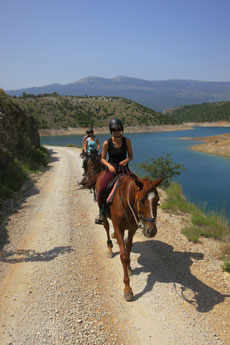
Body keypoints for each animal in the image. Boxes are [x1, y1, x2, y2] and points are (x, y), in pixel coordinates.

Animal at [82, 171, 162, 300]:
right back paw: (109, 248)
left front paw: (129, 268)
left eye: (157, 201)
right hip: (105, 216)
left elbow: (128, 248)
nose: (151, 231)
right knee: (106, 227)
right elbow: (123, 256)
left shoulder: (132, 228)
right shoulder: (118, 227)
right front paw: (128, 289)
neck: (126, 200)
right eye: (141, 200)